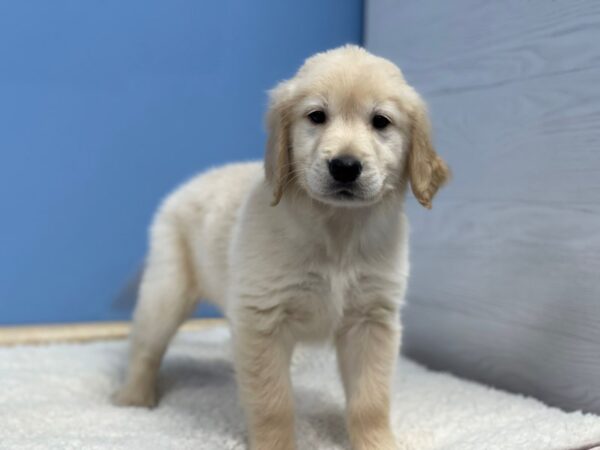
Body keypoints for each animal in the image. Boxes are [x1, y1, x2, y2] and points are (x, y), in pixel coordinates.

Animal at [113, 44, 450, 448]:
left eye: (381, 121)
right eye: (316, 116)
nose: (345, 166)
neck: (337, 230)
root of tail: (185, 186)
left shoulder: (372, 319)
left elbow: (370, 399)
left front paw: (377, 443)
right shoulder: (263, 319)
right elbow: (272, 402)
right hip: (166, 292)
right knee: (145, 348)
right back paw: (134, 399)